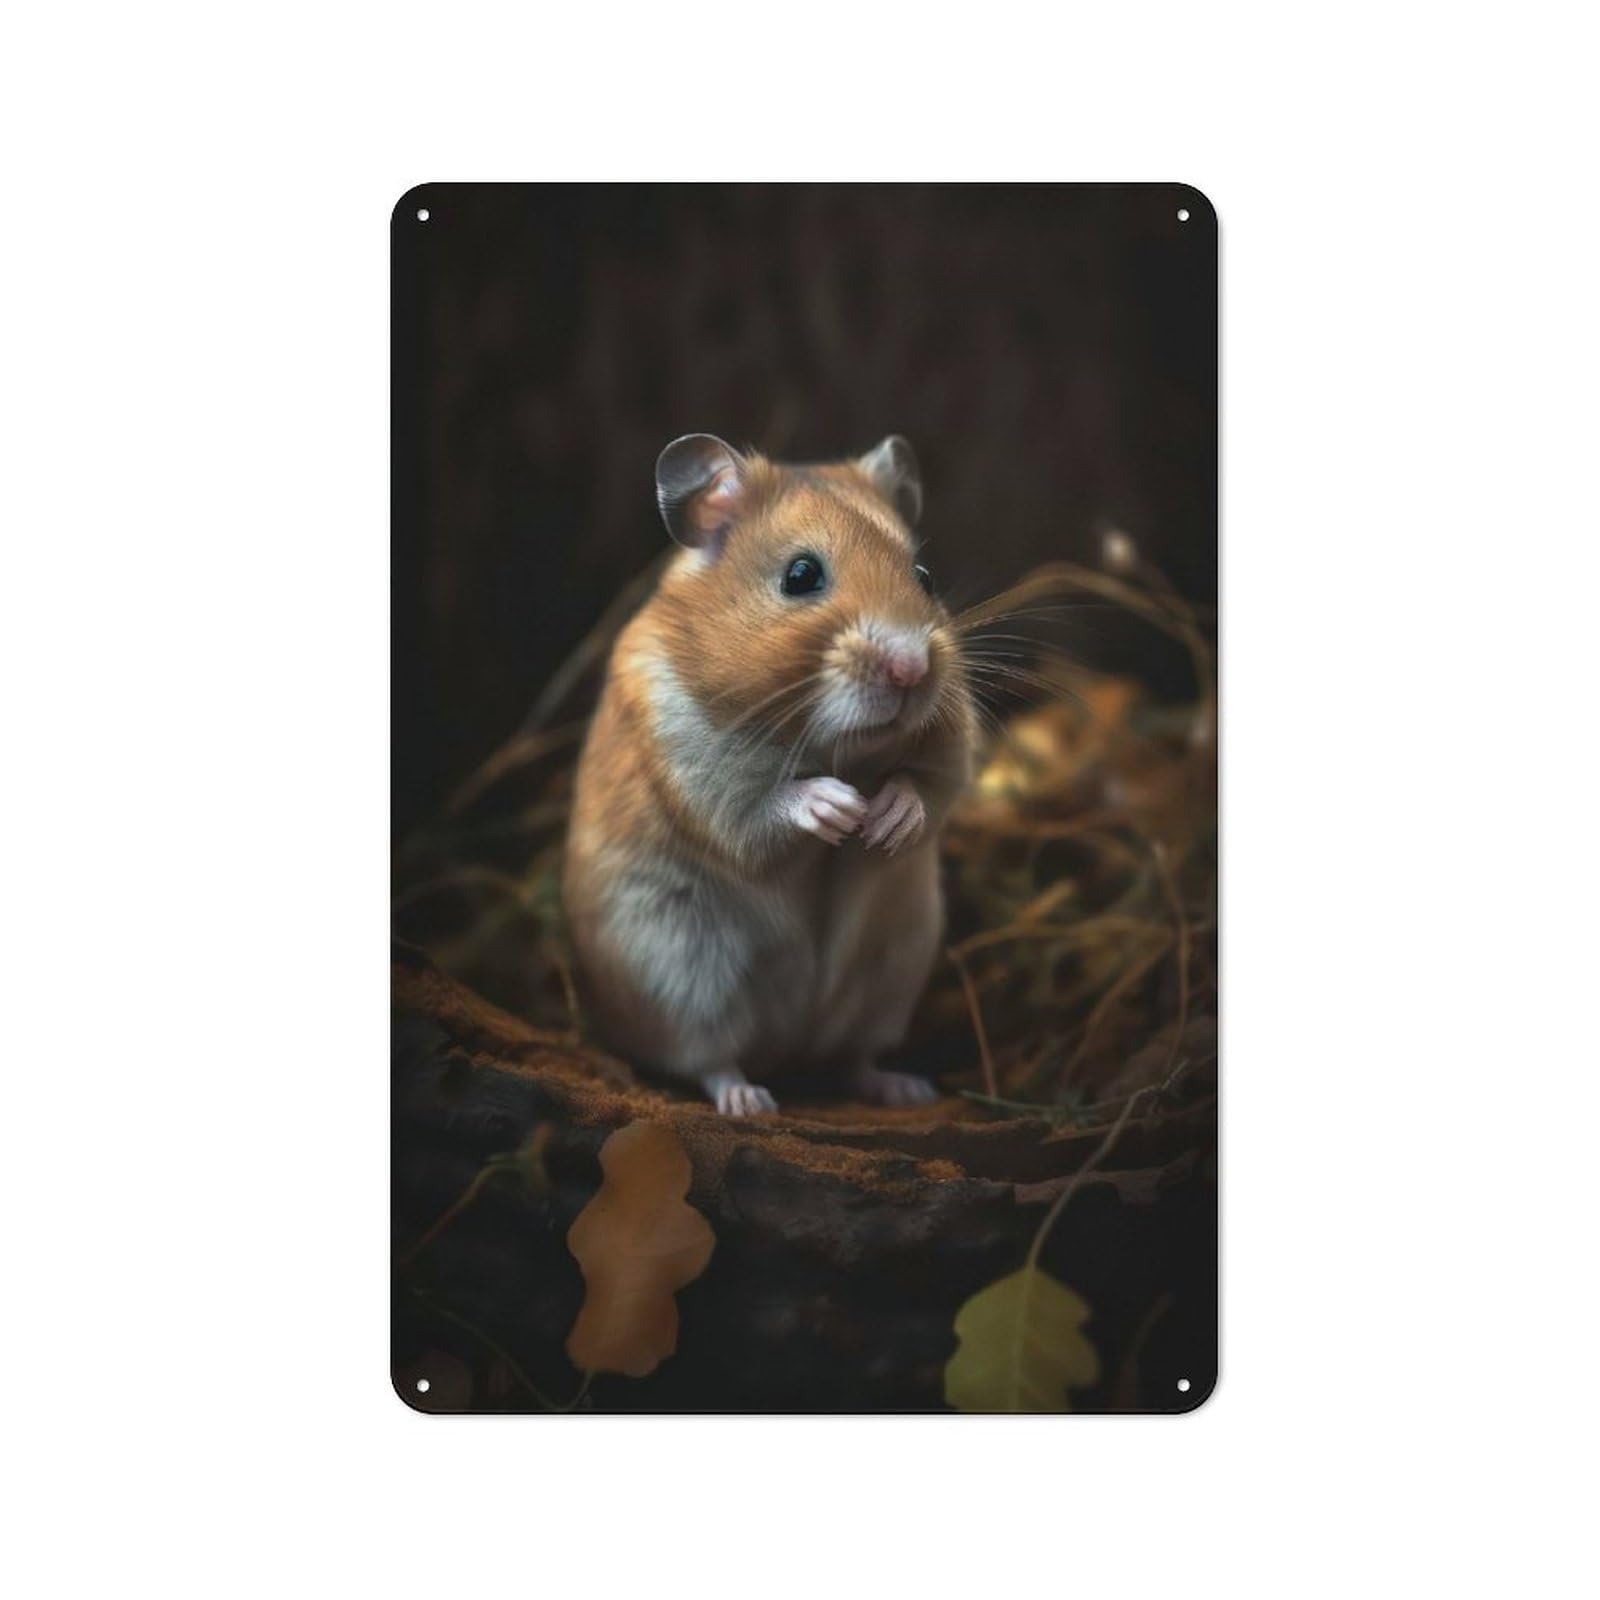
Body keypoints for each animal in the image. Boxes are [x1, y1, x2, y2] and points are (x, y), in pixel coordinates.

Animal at [562, 433, 976, 1116]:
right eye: (800, 576)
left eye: (925, 576)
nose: (912, 669)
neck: (840, 747)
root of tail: (789, 1048)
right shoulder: (701, 770)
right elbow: (764, 803)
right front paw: (840, 809)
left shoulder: (953, 743)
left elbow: (927, 788)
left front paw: (882, 821)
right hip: (675, 968)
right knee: (708, 1058)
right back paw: (749, 1102)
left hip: (892, 971)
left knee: (853, 1057)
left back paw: (904, 1089)